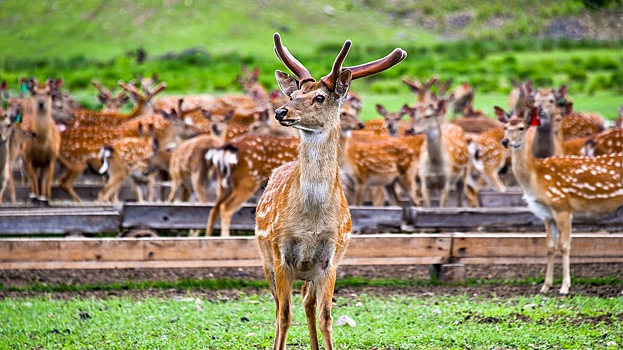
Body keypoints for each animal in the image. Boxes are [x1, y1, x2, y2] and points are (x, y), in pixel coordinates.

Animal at [256, 32, 408, 350]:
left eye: (319, 97)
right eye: (292, 96)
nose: (280, 111)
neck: (311, 219)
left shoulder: (331, 258)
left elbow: (326, 317)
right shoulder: (280, 253)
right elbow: (284, 316)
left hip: (310, 272)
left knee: (308, 303)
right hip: (266, 261)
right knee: (279, 309)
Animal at [502, 108, 623, 294]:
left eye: (522, 128)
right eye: (505, 127)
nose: (505, 141)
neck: (534, 177)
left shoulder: (562, 206)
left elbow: (564, 246)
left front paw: (565, 287)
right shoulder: (546, 214)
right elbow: (550, 247)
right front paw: (545, 286)